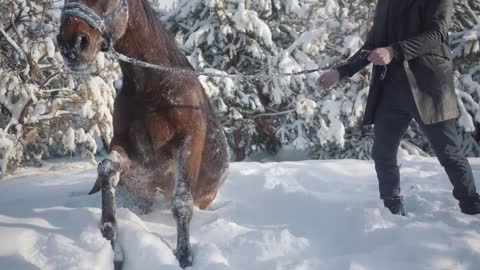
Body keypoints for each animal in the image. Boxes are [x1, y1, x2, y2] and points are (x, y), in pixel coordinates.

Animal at [56, 0, 229, 268]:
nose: (71, 43)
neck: (153, 88)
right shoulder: (128, 148)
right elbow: (106, 170)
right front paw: (113, 242)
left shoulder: (189, 141)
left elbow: (181, 202)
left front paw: (184, 256)